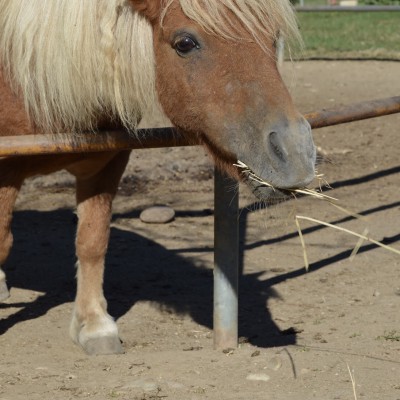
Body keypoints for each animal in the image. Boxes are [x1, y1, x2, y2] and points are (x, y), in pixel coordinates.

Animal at [0, 0, 316, 356]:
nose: (296, 152)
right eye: (185, 43)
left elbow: (92, 242)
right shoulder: (6, 173)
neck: (26, 81)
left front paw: (94, 325)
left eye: (273, 37)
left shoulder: (106, 165)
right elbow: (3, 242)